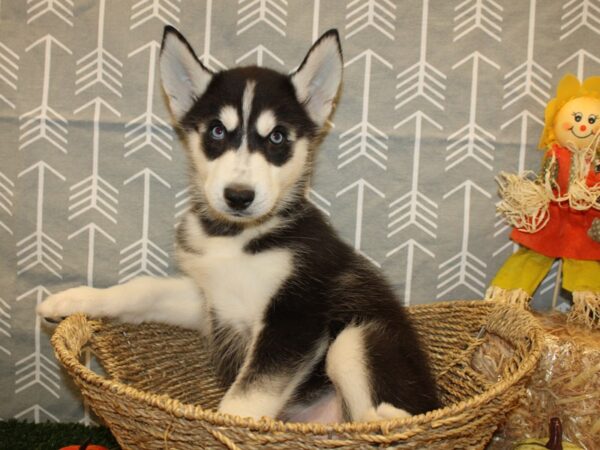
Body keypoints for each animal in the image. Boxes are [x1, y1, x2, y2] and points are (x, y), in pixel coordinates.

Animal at [38, 27, 440, 422]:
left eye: (277, 137)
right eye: (217, 131)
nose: (238, 196)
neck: (237, 238)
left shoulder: (295, 316)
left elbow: (247, 397)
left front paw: (226, 424)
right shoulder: (210, 302)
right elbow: (142, 288)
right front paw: (75, 298)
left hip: (356, 338)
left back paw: (385, 418)